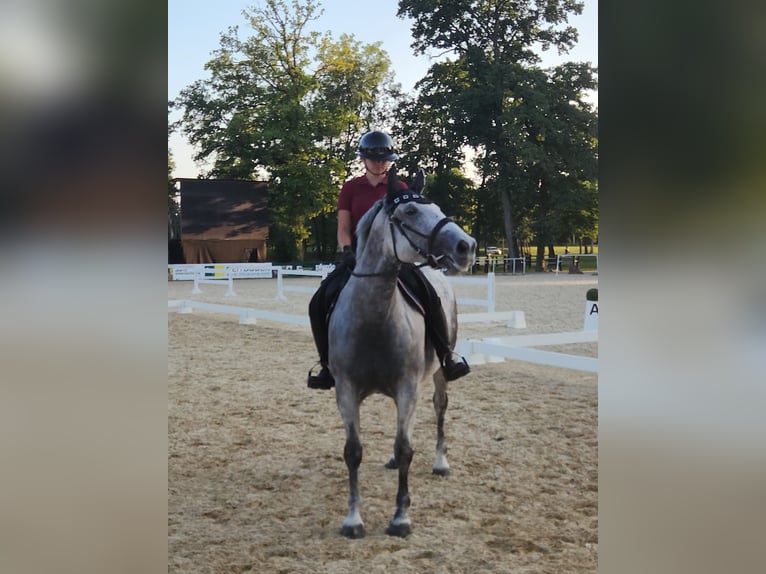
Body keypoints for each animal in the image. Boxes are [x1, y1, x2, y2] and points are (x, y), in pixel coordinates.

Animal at [327, 167, 477, 538]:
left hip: (438, 373)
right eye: (409, 211)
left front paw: (400, 518)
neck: (374, 318)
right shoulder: (346, 391)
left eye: (436, 207)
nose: (466, 246)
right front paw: (353, 520)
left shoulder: (408, 387)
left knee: (439, 408)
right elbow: (353, 452)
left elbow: (406, 447)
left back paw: (440, 462)